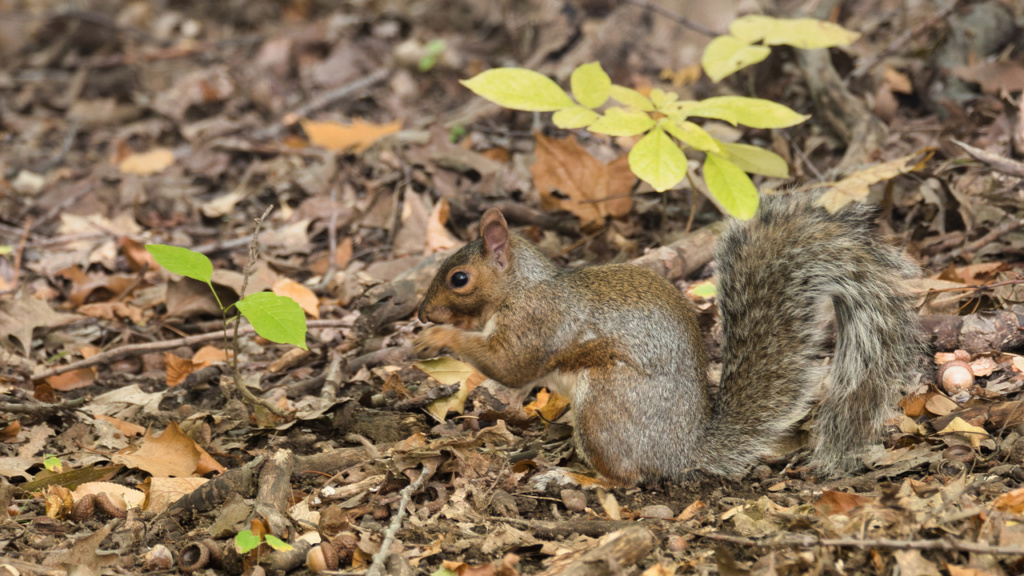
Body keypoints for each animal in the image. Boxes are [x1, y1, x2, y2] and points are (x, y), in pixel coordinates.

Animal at [411, 191, 925, 483]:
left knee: (627, 478)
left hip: (605, 406)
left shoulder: (535, 323)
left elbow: (509, 367)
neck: (521, 288)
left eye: (459, 278)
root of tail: (682, 450)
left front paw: (437, 339)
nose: (421, 312)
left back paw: (578, 480)